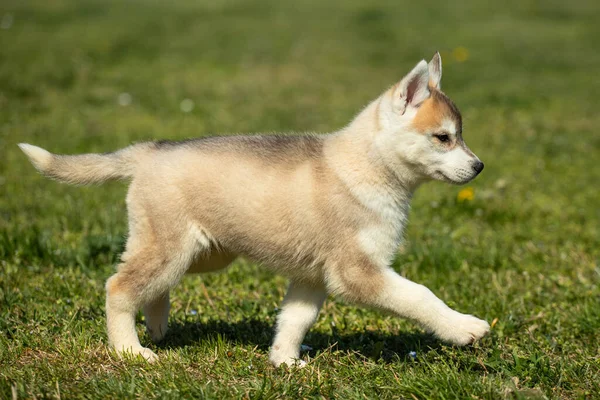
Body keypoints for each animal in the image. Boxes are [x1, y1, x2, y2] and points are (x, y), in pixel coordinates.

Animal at [19, 54, 488, 368]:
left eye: (460, 136)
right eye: (444, 137)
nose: (479, 166)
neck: (367, 166)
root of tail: (151, 150)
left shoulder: (312, 278)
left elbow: (295, 321)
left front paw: (284, 363)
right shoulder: (357, 273)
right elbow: (419, 295)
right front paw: (463, 327)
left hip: (203, 253)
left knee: (148, 285)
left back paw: (155, 323)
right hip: (171, 248)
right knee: (118, 286)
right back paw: (129, 349)